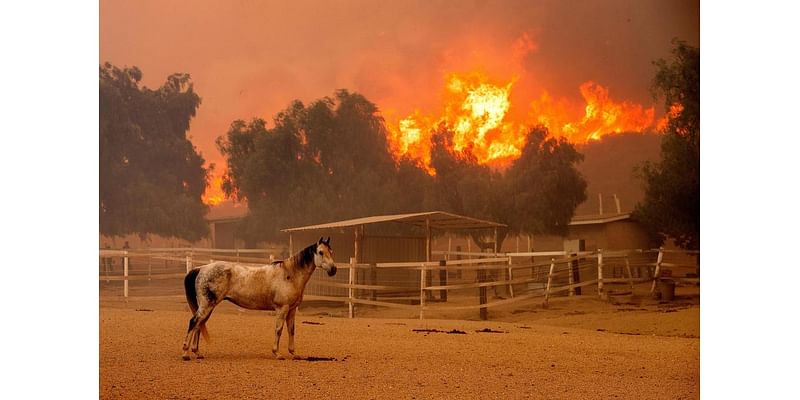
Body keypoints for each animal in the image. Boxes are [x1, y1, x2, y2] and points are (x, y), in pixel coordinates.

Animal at [180, 236, 336, 360]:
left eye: (331, 251)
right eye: (321, 252)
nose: (333, 269)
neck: (290, 275)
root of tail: (201, 268)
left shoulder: (291, 310)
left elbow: (291, 330)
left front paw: (294, 353)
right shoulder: (282, 308)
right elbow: (279, 329)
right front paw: (277, 353)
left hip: (207, 306)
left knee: (199, 324)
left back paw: (197, 353)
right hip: (207, 305)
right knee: (193, 322)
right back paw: (186, 354)